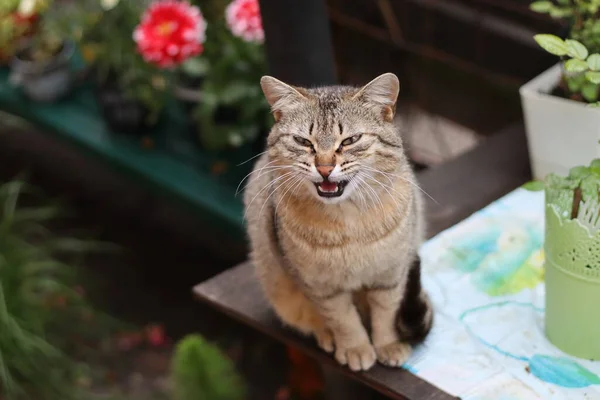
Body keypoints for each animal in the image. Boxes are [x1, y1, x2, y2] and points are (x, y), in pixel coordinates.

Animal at [241, 72, 434, 372]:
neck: (348, 222)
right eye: (303, 141)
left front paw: (387, 344)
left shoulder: (391, 274)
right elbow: (343, 320)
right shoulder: (322, 287)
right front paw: (355, 348)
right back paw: (327, 336)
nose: (324, 168)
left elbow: (386, 313)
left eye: (350, 140)